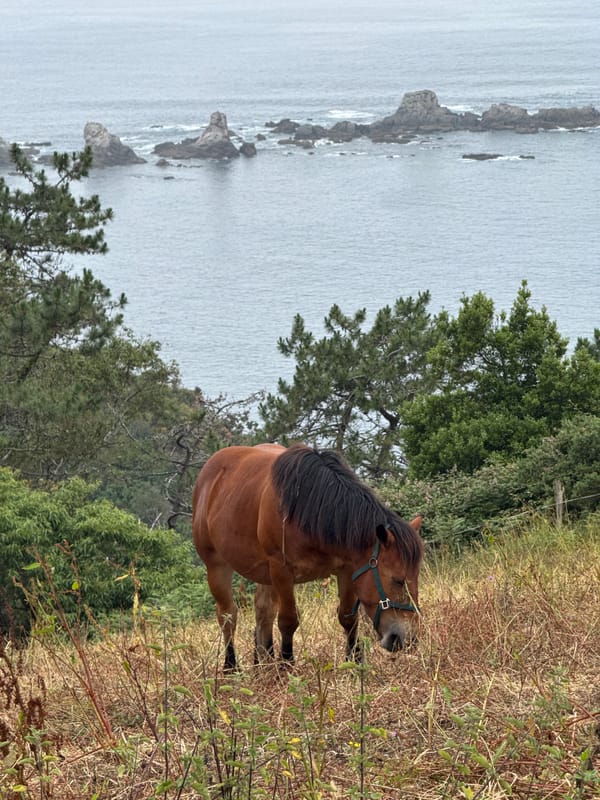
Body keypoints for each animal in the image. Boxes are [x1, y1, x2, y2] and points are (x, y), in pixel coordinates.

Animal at [192, 443, 423, 670]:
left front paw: (355, 664)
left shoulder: (347, 570)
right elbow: (288, 620)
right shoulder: (281, 571)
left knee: (263, 612)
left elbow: (348, 618)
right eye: (398, 580)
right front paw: (286, 665)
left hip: (264, 574)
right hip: (217, 566)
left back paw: (264, 665)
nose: (406, 638)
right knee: (228, 615)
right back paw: (231, 667)